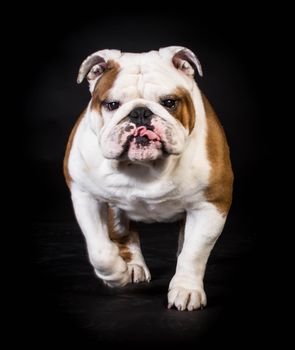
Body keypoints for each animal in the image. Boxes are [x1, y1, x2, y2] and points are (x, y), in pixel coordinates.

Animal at [64, 46, 234, 312]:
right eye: (112, 104)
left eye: (170, 102)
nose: (140, 112)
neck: (146, 166)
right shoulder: (85, 195)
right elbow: (100, 249)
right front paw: (116, 274)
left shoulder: (212, 204)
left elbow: (194, 251)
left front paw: (186, 289)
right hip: (116, 210)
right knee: (122, 233)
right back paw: (131, 267)